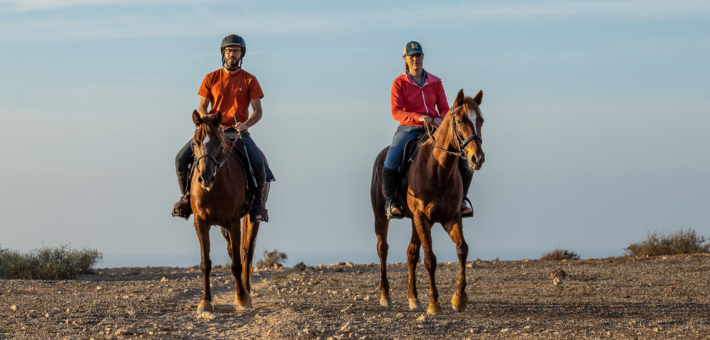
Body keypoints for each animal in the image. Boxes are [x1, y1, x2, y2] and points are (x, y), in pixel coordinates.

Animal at [189, 110, 268, 312]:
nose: (206, 178)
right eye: (195, 142)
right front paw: (206, 301)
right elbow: (205, 263)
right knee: (234, 251)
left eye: (218, 143)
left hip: (251, 218)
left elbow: (237, 264)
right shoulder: (201, 222)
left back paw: (246, 290)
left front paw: (242, 297)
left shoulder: (233, 221)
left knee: (246, 252)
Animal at [370, 89, 486, 314]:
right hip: (382, 216)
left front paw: (459, 298)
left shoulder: (451, 218)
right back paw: (385, 296)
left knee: (411, 254)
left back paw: (413, 299)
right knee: (383, 249)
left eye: (481, 121)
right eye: (460, 120)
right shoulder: (423, 219)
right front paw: (434, 303)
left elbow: (462, 250)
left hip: (414, 221)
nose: (477, 158)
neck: (439, 170)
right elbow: (430, 259)